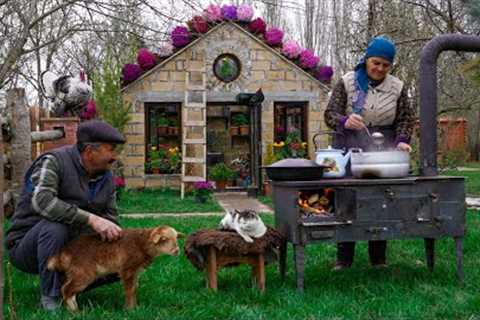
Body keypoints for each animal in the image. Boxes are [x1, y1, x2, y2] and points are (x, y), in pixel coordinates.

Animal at [47, 225, 184, 310]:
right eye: (164, 239)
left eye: (176, 238)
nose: (177, 251)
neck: (142, 243)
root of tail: (63, 253)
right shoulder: (127, 269)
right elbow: (129, 290)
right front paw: (130, 309)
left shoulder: (135, 271)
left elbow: (134, 288)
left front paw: (135, 307)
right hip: (83, 272)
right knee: (66, 289)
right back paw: (75, 312)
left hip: (74, 271)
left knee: (69, 290)